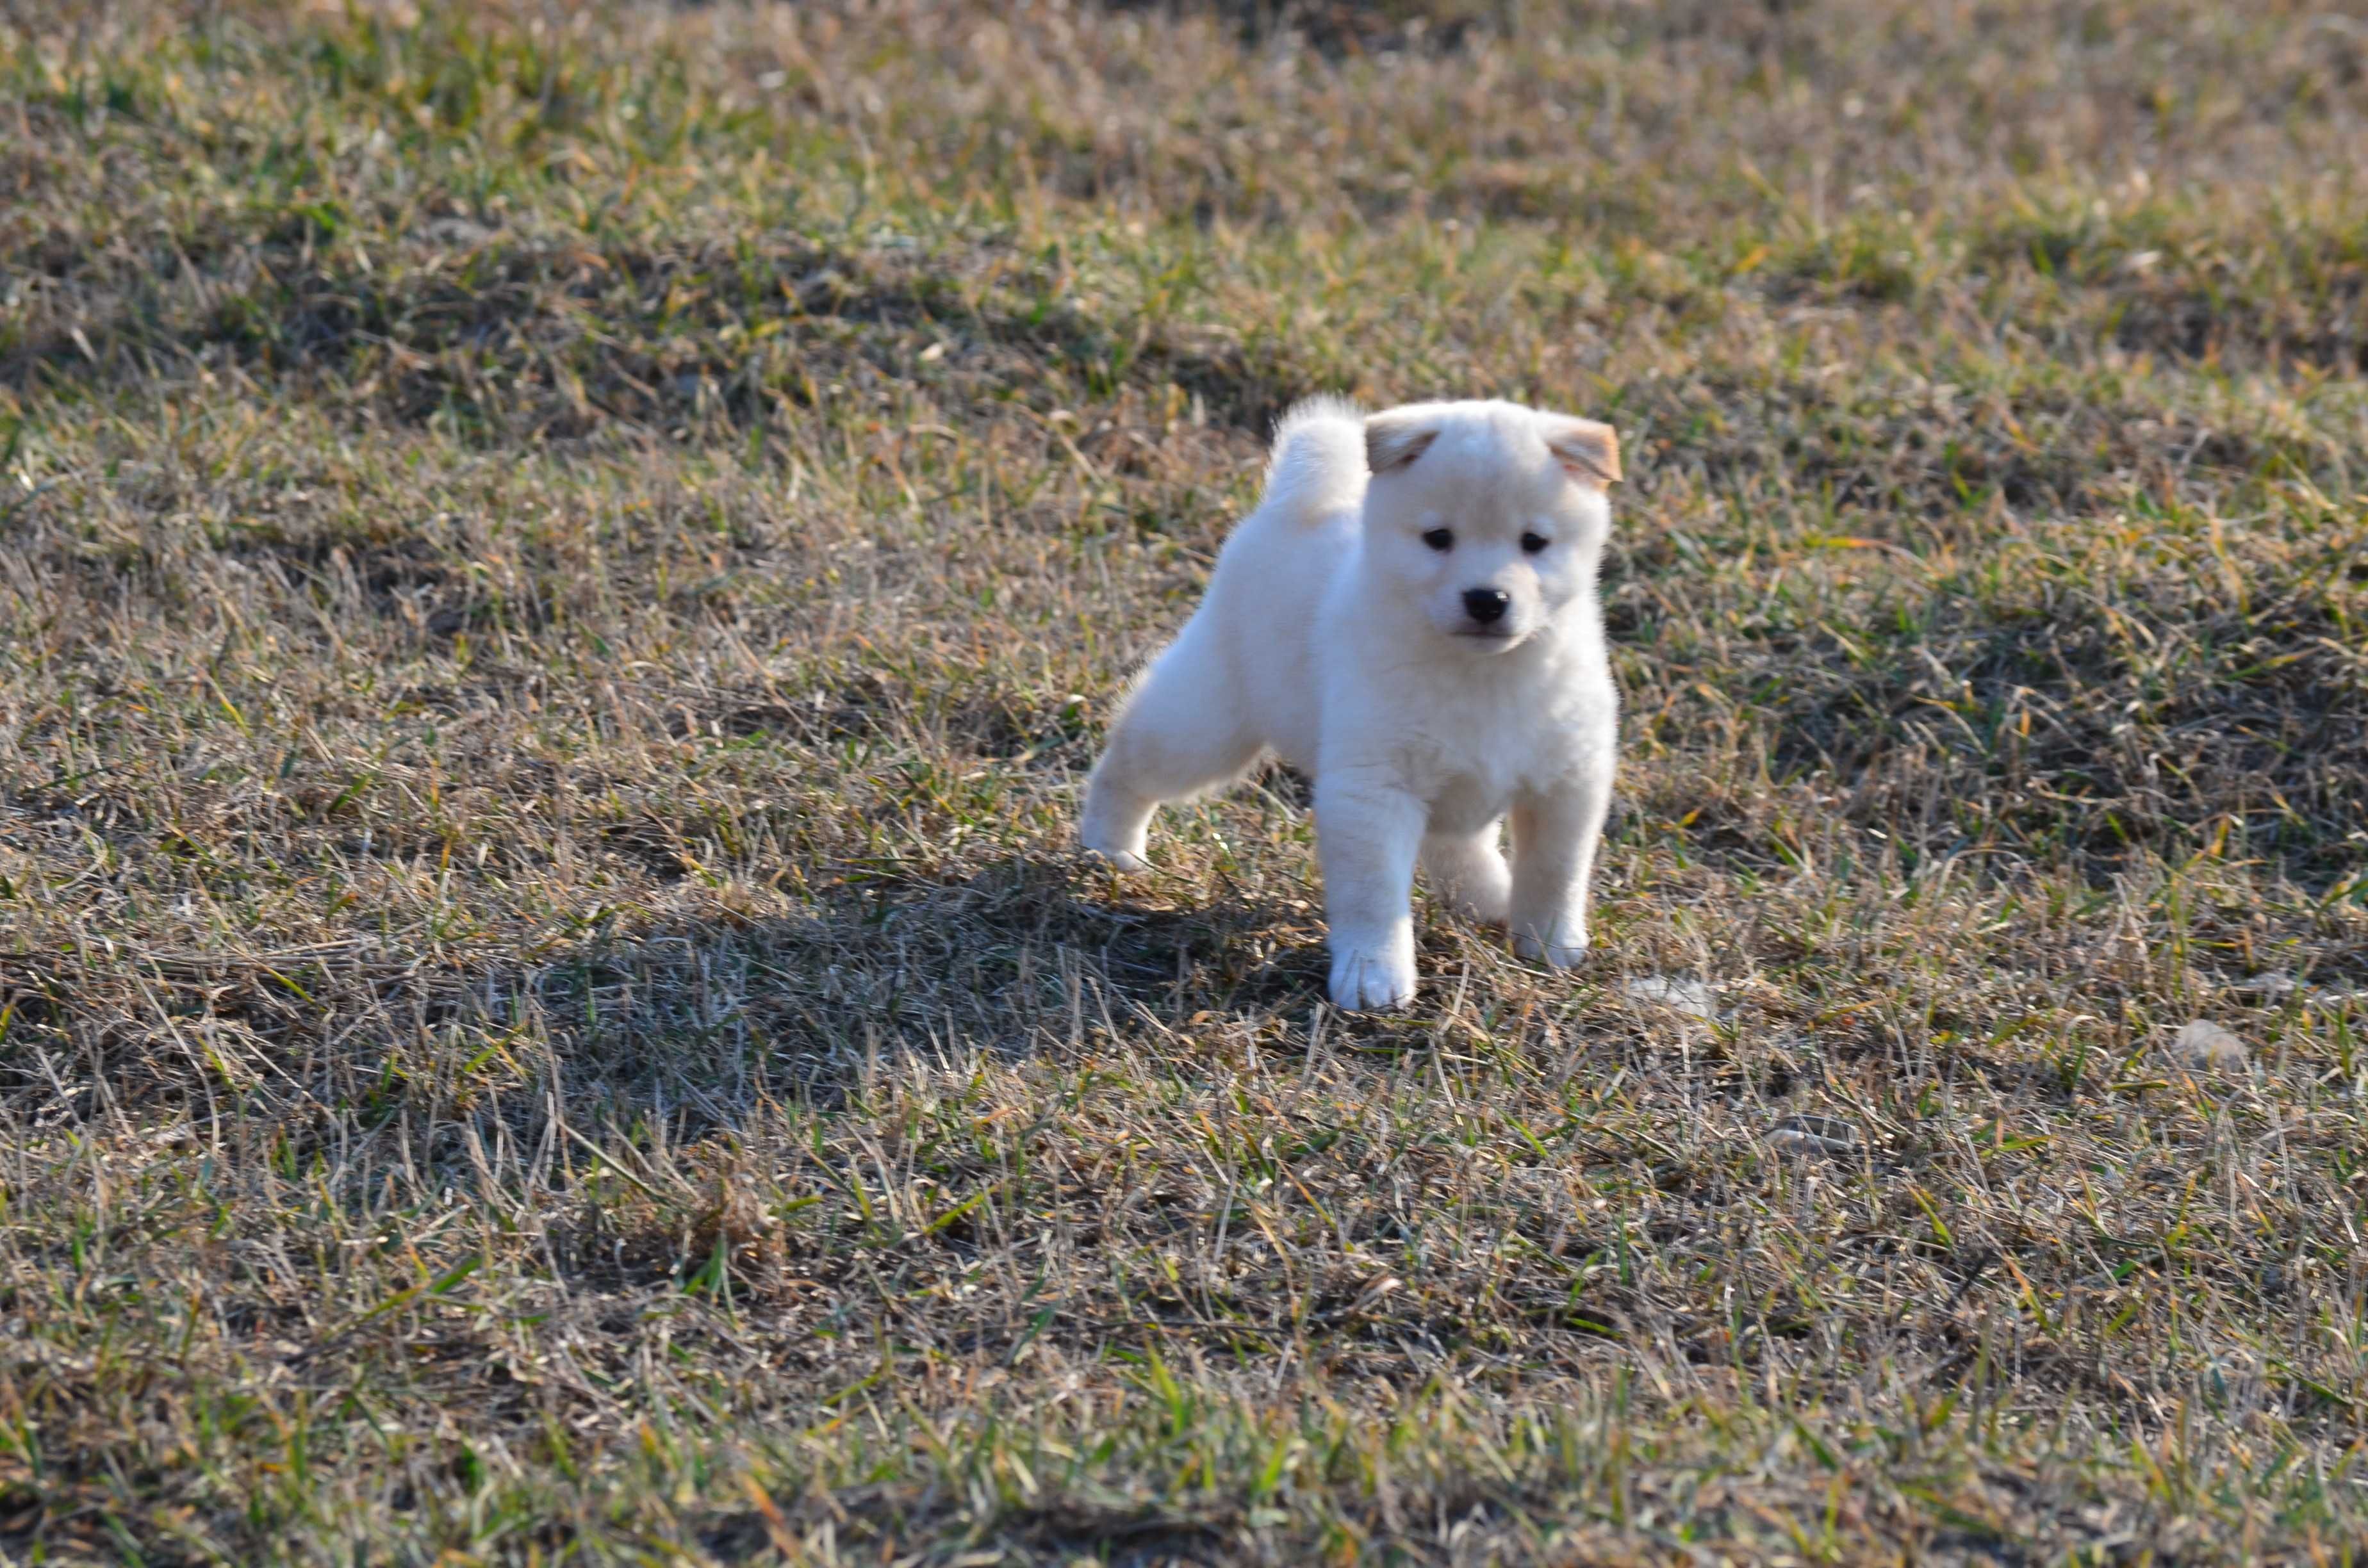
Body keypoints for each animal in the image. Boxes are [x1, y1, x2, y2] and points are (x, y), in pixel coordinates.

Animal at [1080, 400, 1620, 1013]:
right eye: (1438, 538)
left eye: (1534, 542)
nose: (1487, 599)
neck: (1484, 675)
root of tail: (1293, 507)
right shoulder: (1372, 789)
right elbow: (1373, 897)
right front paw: (1373, 975)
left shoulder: (1567, 782)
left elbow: (1556, 872)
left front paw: (1550, 944)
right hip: (1206, 723)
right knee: (1129, 765)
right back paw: (1110, 847)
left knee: (1455, 843)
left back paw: (1488, 897)